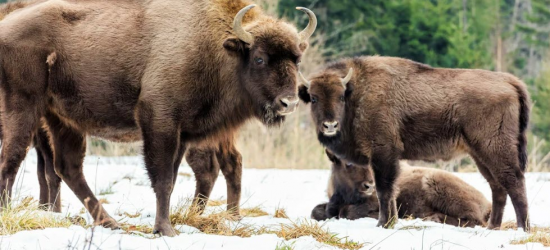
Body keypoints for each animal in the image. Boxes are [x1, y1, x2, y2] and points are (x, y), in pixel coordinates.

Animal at [0, 0, 316, 235]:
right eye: (260, 58)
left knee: (68, 168)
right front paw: (165, 230)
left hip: (63, 119)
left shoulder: (183, 133)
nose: (289, 102)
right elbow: (162, 178)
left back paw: (110, 223)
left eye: (297, 59)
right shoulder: (159, 121)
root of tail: (7, 26)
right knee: (14, 158)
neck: (213, 45)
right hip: (24, 107)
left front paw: (164, 226)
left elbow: (172, 179)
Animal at [312, 149, 494, 228]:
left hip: (433, 182)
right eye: (348, 163)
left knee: (476, 221)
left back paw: (433, 218)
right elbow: (318, 211)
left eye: (370, 163)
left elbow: (347, 212)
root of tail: (488, 204)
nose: (369, 184)